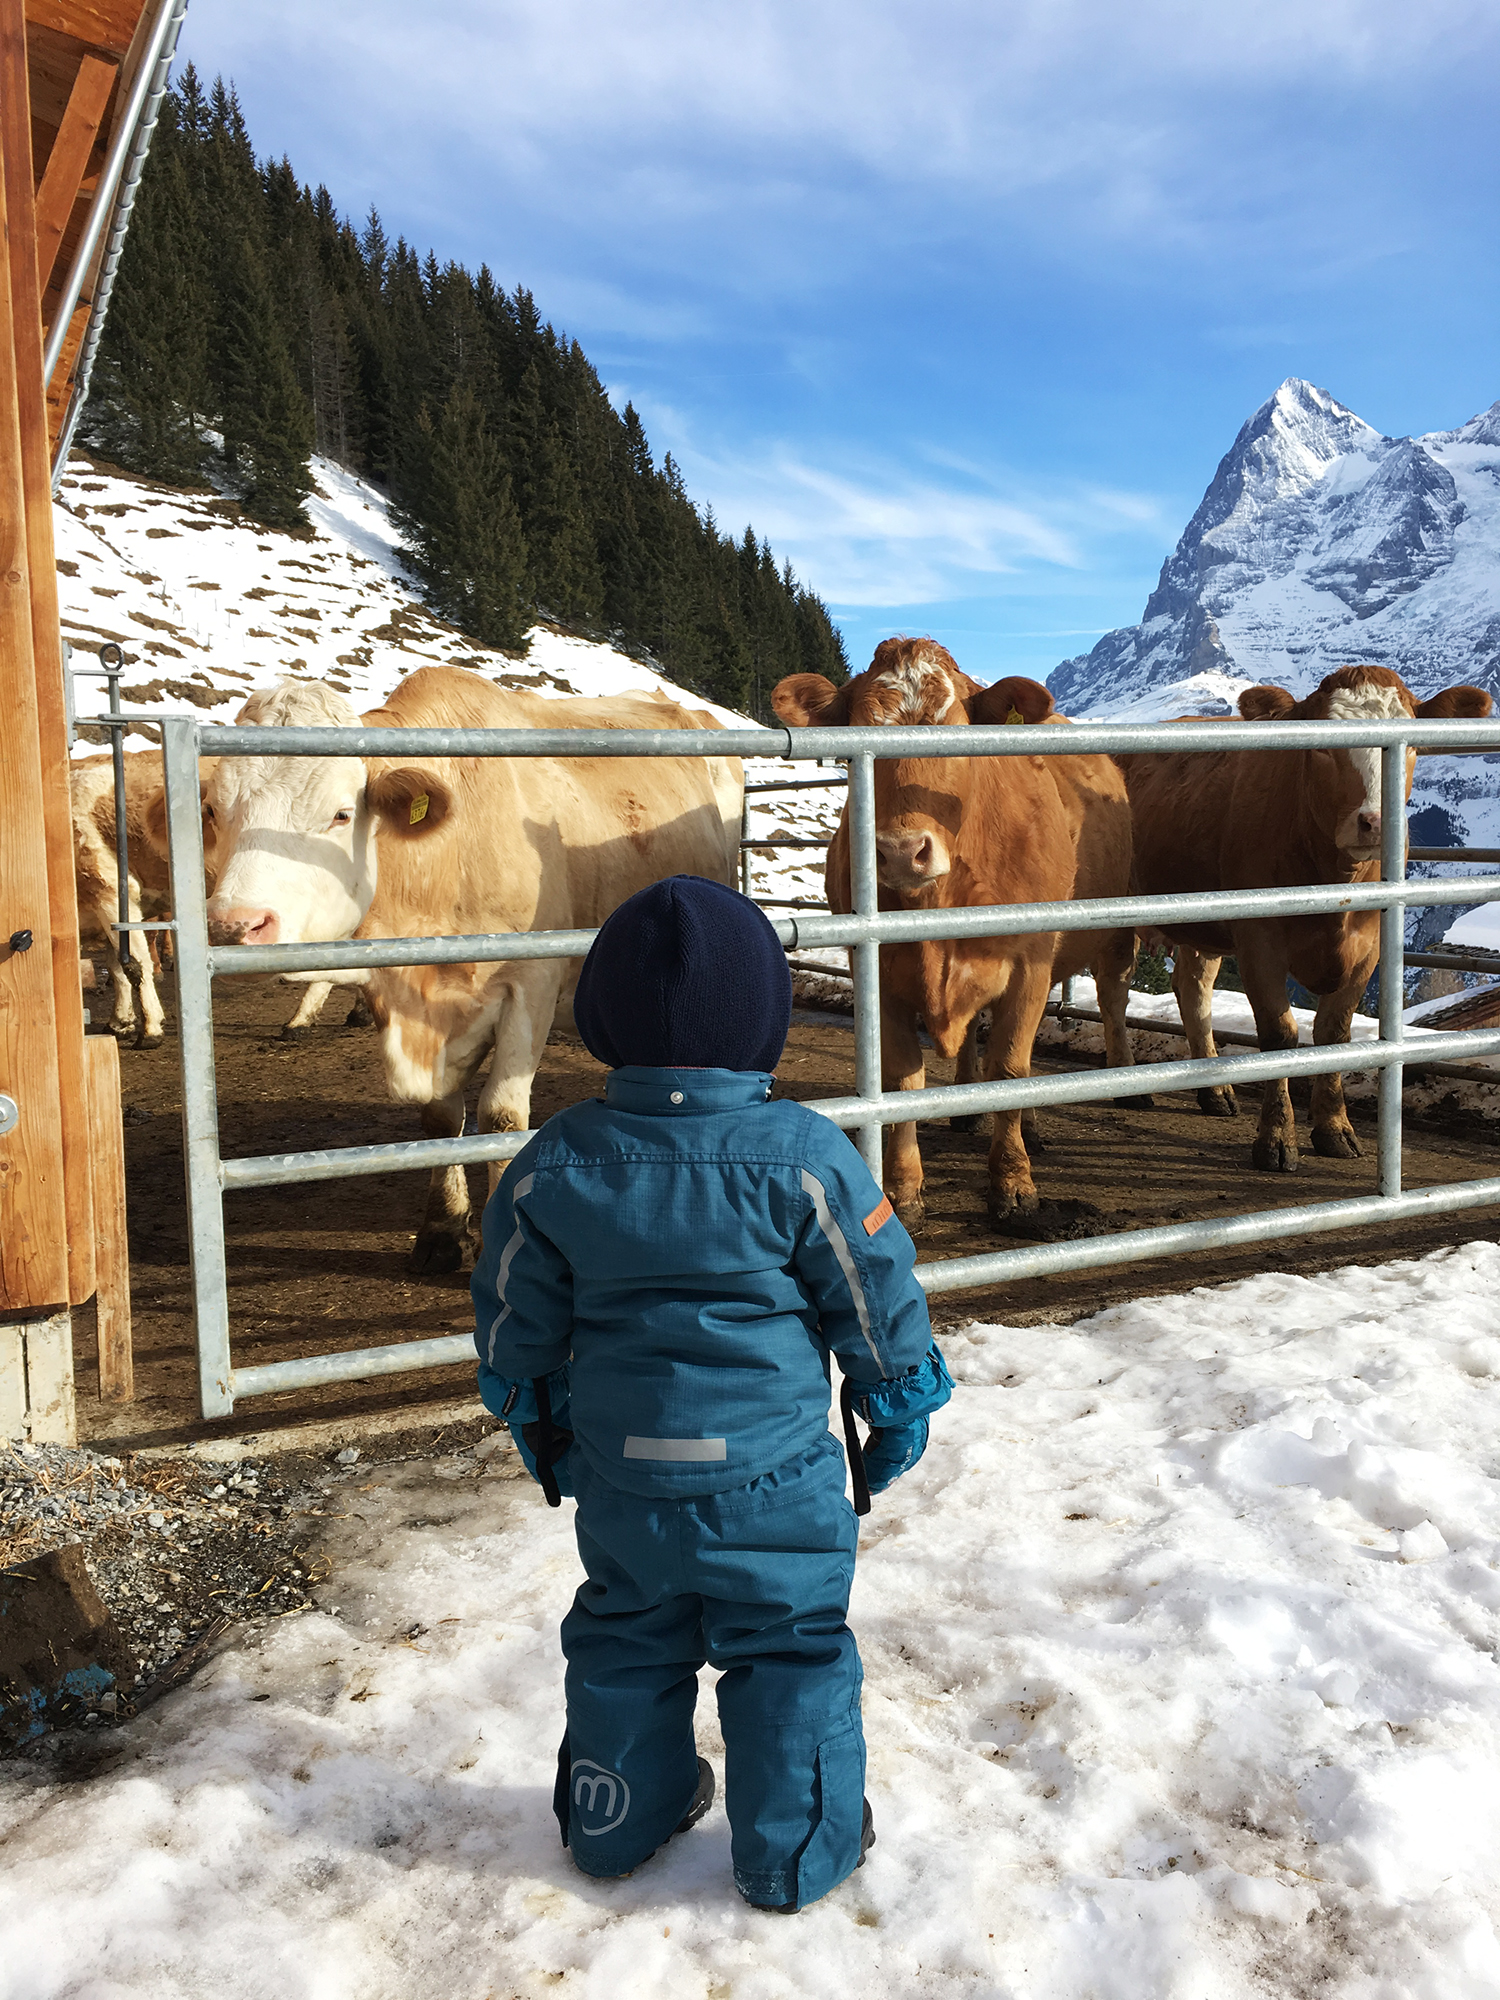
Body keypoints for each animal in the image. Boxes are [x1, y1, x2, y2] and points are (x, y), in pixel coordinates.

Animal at [776, 640, 1136, 1232]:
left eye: (956, 734)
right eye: (858, 736)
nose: (901, 852)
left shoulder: (1031, 965)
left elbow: (1010, 1067)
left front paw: (1013, 1185)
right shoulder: (875, 973)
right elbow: (902, 1082)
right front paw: (902, 1192)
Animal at [1128, 668, 1496, 1168]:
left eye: (1412, 744)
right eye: (1321, 745)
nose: (1375, 822)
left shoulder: (1369, 949)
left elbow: (1334, 1033)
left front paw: (1334, 1128)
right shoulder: (1259, 941)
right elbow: (1279, 1035)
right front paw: (1276, 1138)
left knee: (1192, 989)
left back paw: (1215, 1092)